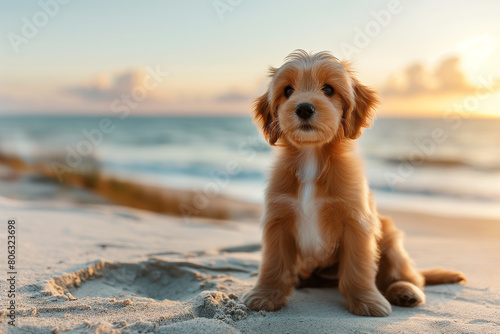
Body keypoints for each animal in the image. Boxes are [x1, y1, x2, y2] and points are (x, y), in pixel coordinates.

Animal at [242, 49, 464, 316]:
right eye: (287, 91)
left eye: (328, 89)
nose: (304, 108)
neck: (311, 157)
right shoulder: (278, 219)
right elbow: (274, 264)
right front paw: (265, 295)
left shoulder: (356, 222)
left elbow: (358, 267)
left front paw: (366, 301)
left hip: (391, 239)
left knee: (407, 275)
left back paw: (405, 291)